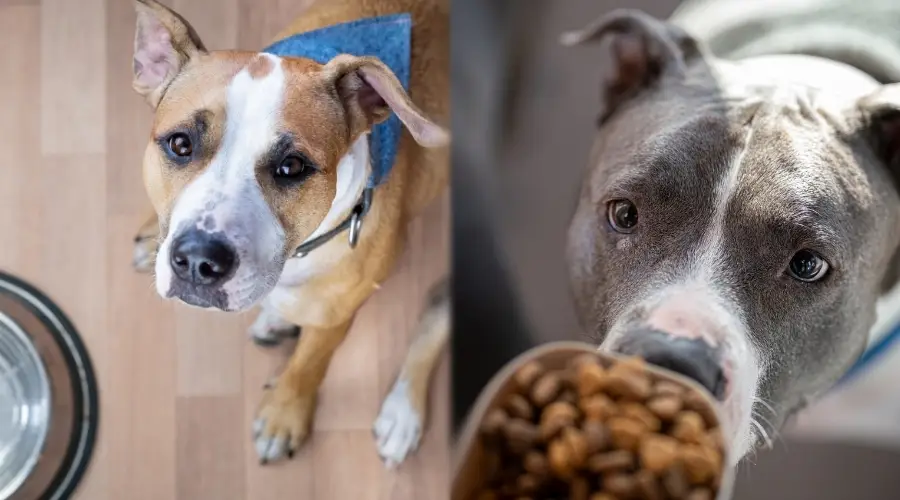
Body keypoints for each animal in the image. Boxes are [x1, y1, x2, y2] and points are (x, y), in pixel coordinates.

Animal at [126, 0, 450, 466]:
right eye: (180, 144)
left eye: (292, 167)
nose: (198, 261)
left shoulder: (335, 318)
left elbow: (308, 365)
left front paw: (283, 416)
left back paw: (401, 412)